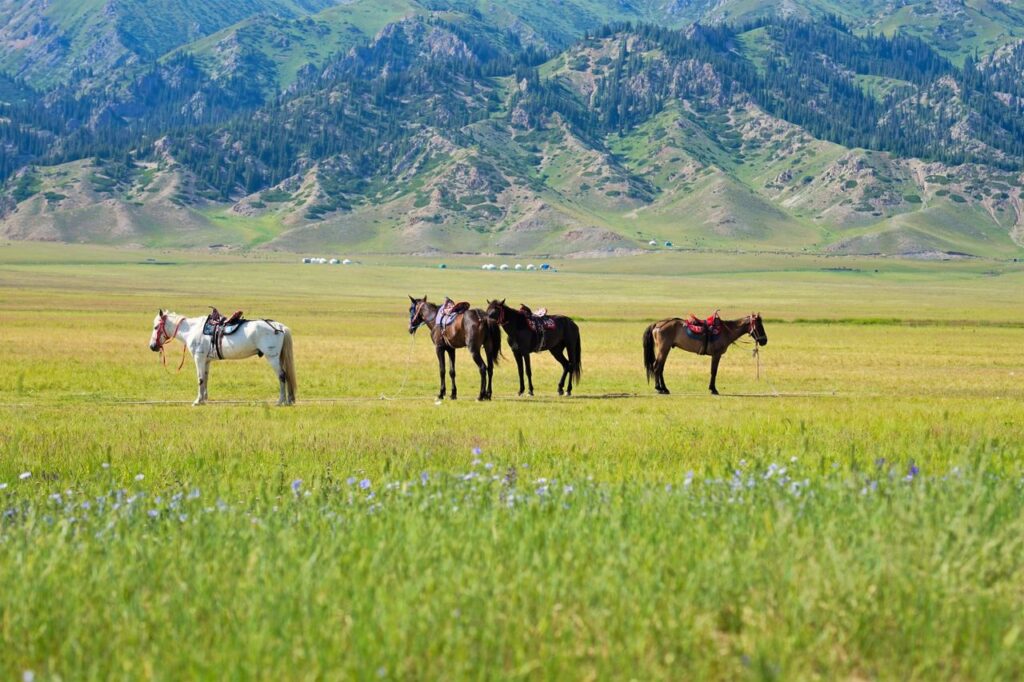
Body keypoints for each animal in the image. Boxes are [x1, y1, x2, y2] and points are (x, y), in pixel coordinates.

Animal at [148, 309, 297, 405]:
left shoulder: (199, 358)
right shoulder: (206, 360)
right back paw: (288, 400)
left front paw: (197, 401)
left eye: (155, 327)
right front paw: (204, 399)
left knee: (282, 376)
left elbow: (200, 378)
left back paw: (280, 401)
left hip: (272, 357)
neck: (191, 330)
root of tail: (278, 326)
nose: (152, 346)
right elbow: (205, 378)